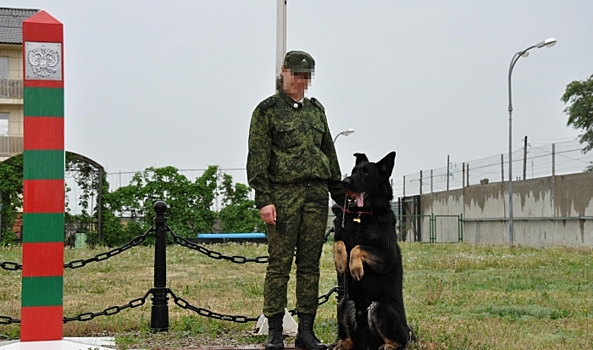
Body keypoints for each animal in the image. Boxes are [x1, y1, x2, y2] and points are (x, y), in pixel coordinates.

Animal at [330, 152, 410, 350]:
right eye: (353, 171)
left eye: (366, 173)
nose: (345, 182)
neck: (362, 215)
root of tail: (366, 343)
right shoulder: (340, 234)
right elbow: (340, 243)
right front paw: (342, 262)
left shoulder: (386, 257)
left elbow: (358, 247)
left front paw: (355, 268)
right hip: (346, 304)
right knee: (350, 339)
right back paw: (341, 344)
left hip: (380, 308)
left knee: (398, 342)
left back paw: (388, 346)